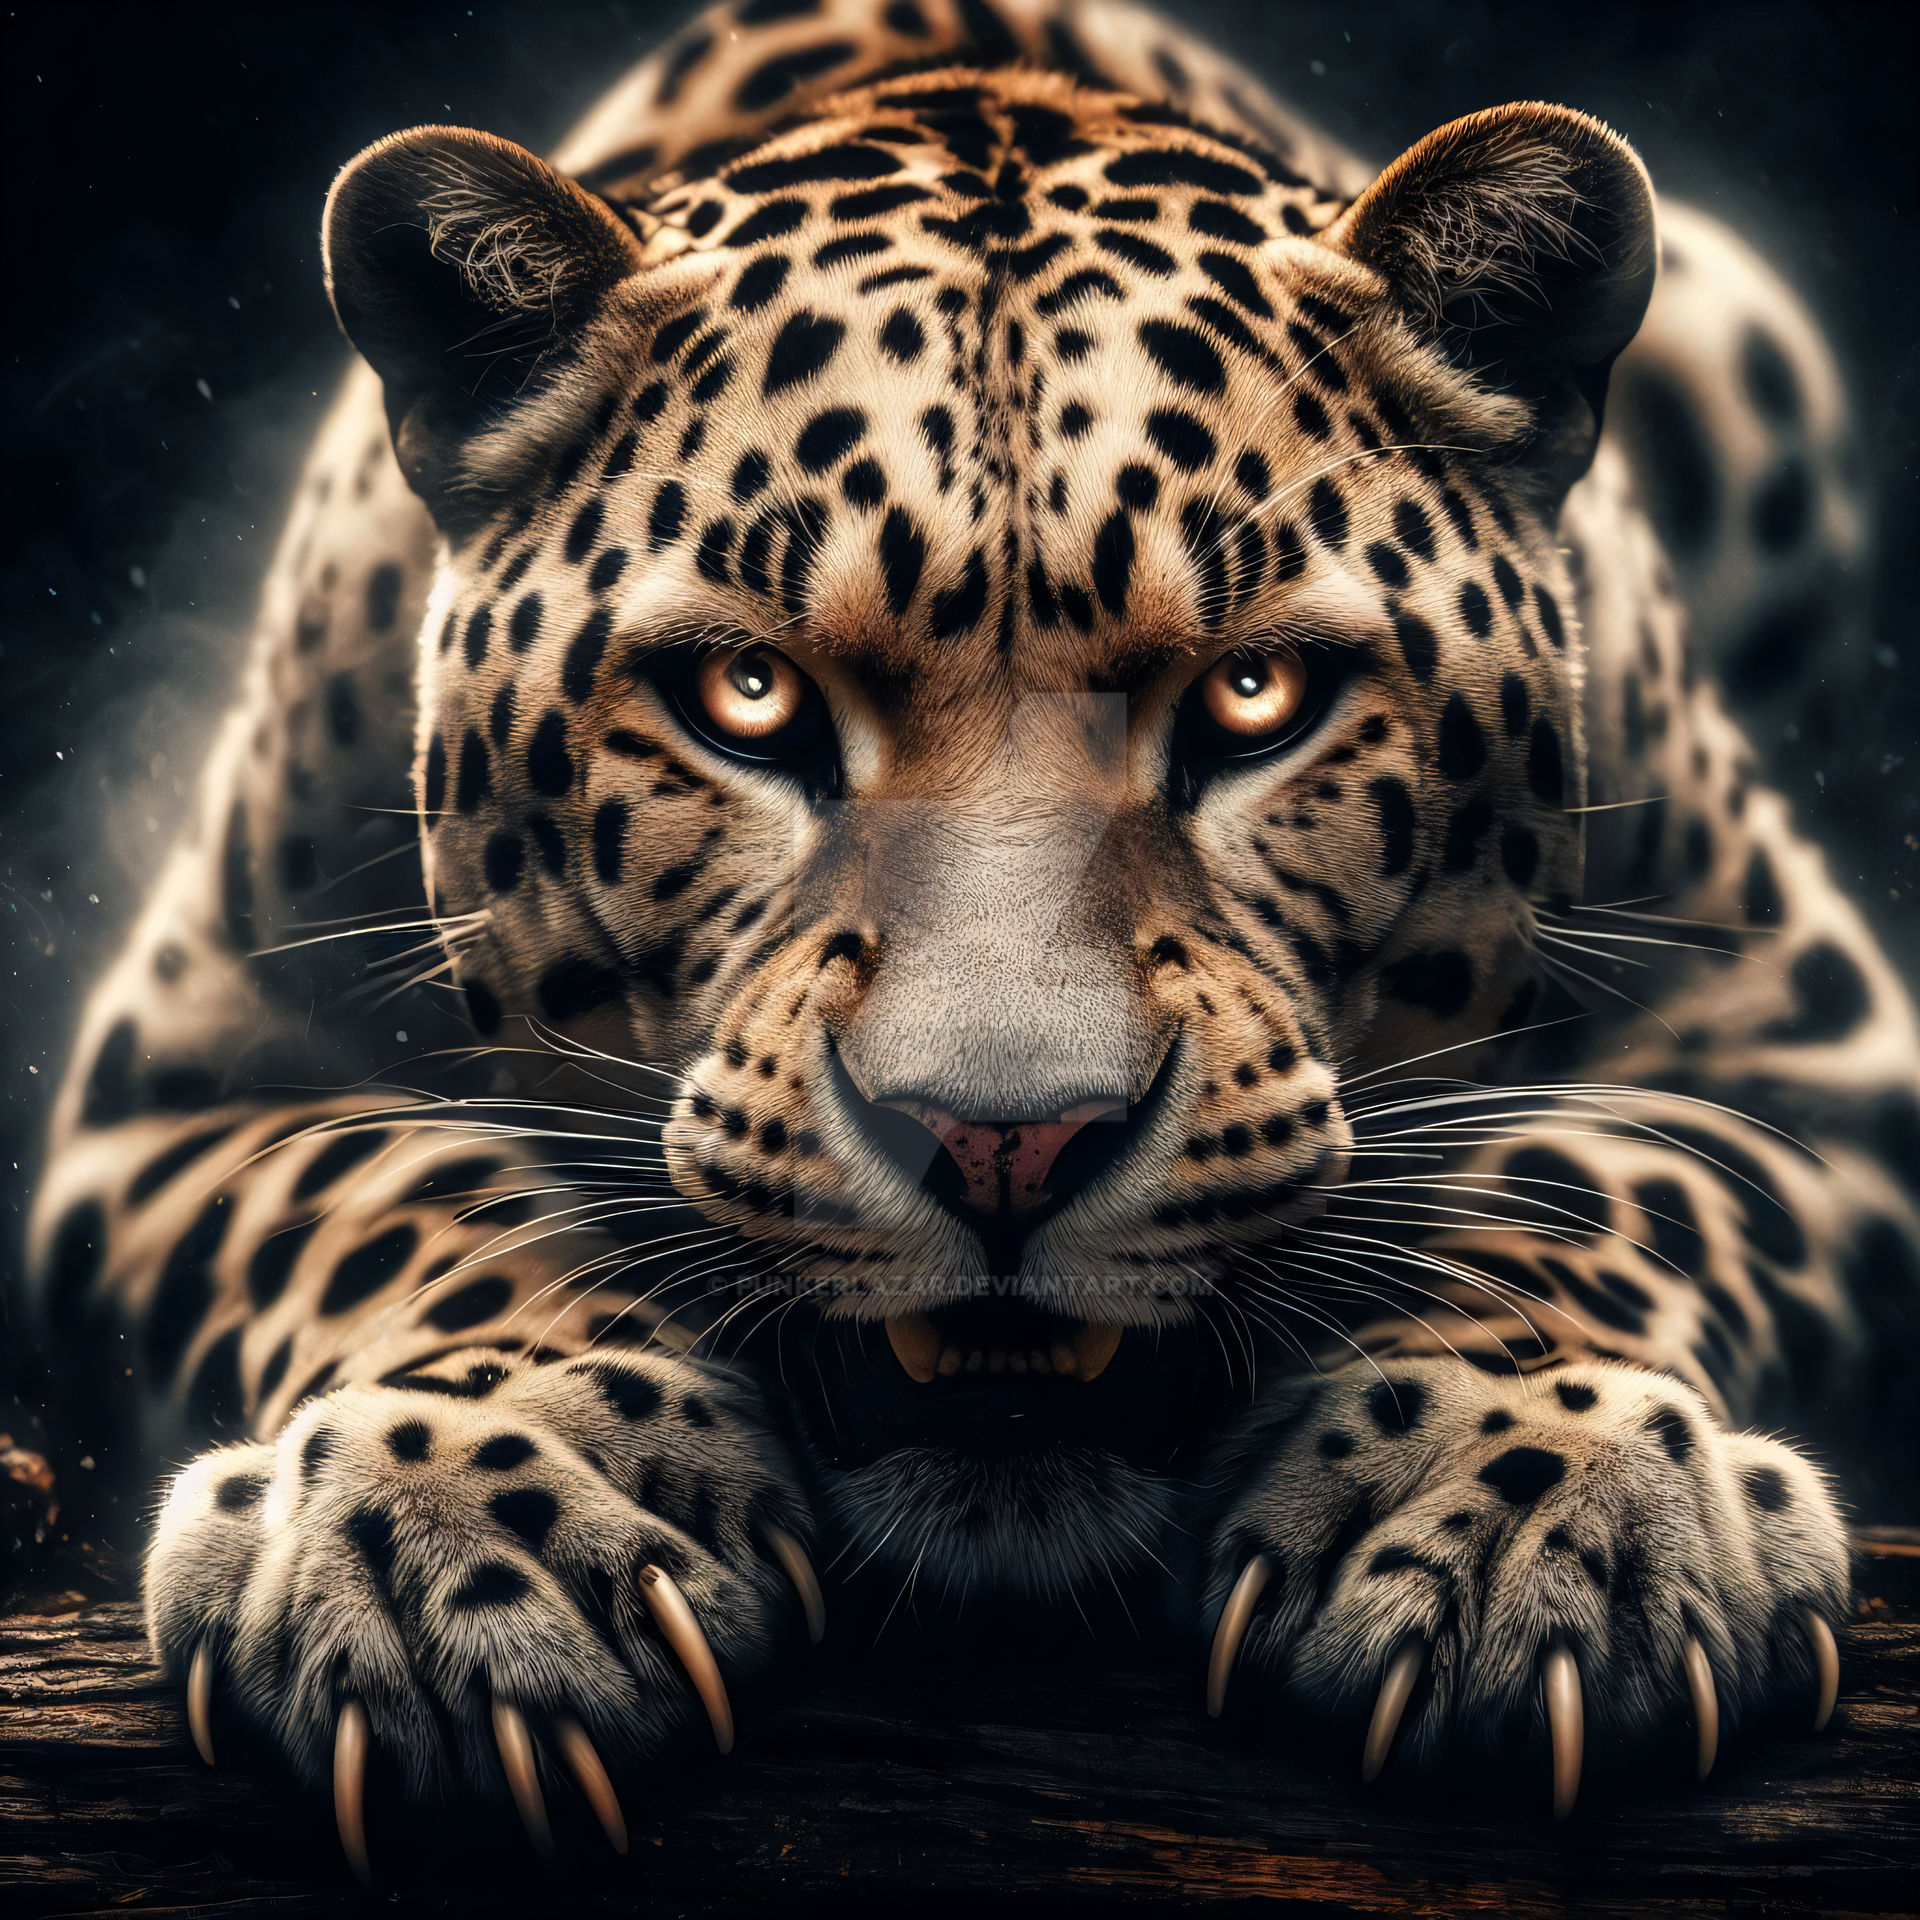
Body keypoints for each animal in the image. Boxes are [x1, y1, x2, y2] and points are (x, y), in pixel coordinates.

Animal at [24, 0, 1920, 1873]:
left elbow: (1577, 1185)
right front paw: (466, 1521)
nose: (1007, 1147)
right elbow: (412, 1201)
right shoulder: (198, 1069)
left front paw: (1534, 1508)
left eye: (1258, 695)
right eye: (748, 694)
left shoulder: (1795, 1027)